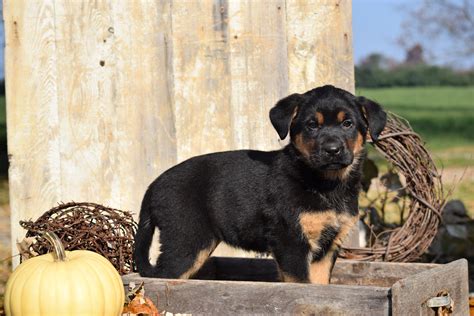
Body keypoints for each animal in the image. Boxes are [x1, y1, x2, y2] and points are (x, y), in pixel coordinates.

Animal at [133, 84, 386, 284]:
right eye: (312, 125)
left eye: (348, 124)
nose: (332, 150)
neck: (324, 183)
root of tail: (153, 185)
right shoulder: (291, 241)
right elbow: (301, 284)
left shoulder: (328, 247)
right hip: (186, 241)